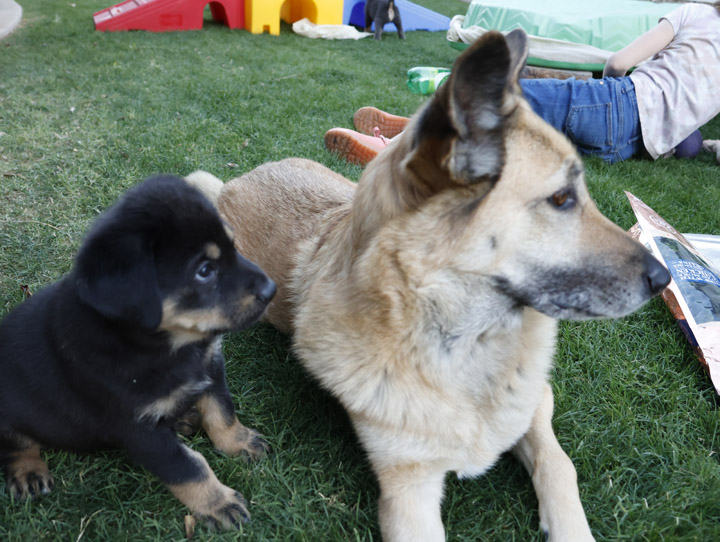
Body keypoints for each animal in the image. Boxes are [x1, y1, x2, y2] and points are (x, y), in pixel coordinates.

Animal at [0, 175, 276, 532]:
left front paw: (239, 442)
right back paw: (28, 472)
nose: (272, 290)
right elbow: (187, 467)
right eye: (204, 270)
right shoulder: (136, 427)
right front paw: (217, 503)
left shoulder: (211, 368)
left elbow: (222, 412)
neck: (161, 345)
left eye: (234, 246)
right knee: (15, 442)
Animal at [211, 30, 672, 542]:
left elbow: (559, 466)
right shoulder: (408, 491)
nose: (665, 278)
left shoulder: (536, 407)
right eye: (560, 199)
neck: (468, 347)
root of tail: (236, 181)